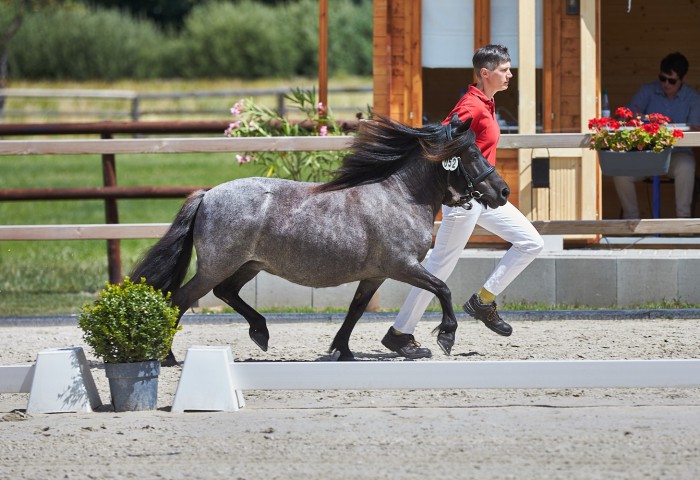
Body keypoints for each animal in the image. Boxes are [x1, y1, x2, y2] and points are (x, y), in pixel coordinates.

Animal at [131, 115, 510, 364]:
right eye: (474, 154)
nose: (503, 192)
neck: (401, 196)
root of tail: (208, 195)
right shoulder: (402, 266)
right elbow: (442, 288)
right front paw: (446, 336)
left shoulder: (375, 274)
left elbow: (355, 311)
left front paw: (343, 350)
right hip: (216, 266)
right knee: (180, 300)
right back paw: (168, 356)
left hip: (249, 264)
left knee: (226, 293)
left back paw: (260, 333)